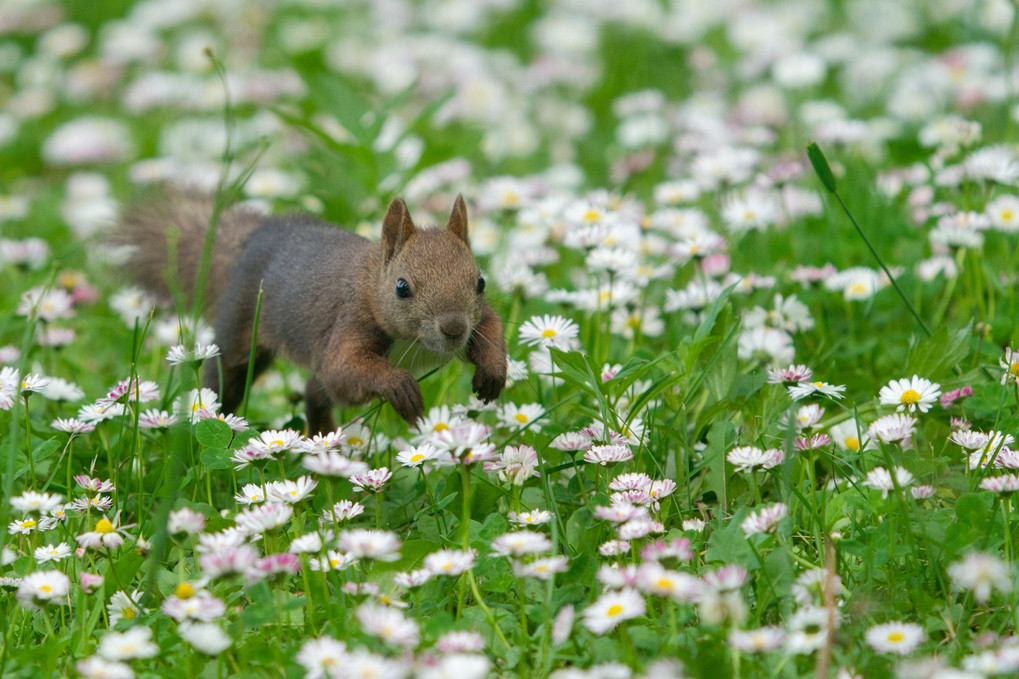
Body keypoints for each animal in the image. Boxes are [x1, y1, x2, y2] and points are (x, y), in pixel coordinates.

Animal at [116, 190, 509, 430]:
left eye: (480, 282)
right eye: (402, 288)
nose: (454, 329)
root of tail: (251, 239)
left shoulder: (480, 317)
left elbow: (492, 326)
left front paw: (493, 371)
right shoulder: (351, 322)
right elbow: (343, 368)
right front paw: (398, 385)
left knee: (313, 392)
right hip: (240, 324)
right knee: (226, 377)